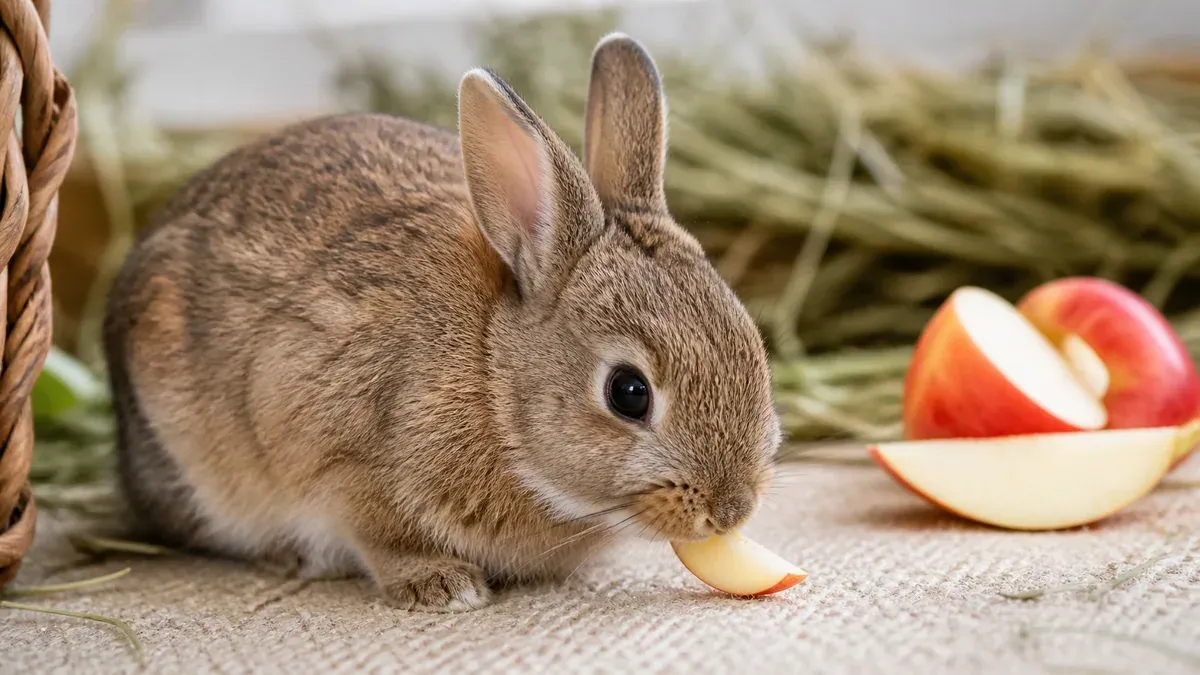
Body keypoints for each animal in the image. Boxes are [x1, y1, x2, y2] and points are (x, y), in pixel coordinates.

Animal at [103, 33, 782, 612]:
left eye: (754, 348)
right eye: (629, 393)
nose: (732, 509)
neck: (493, 379)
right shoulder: (340, 457)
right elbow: (381, 535)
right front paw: (442, 587)